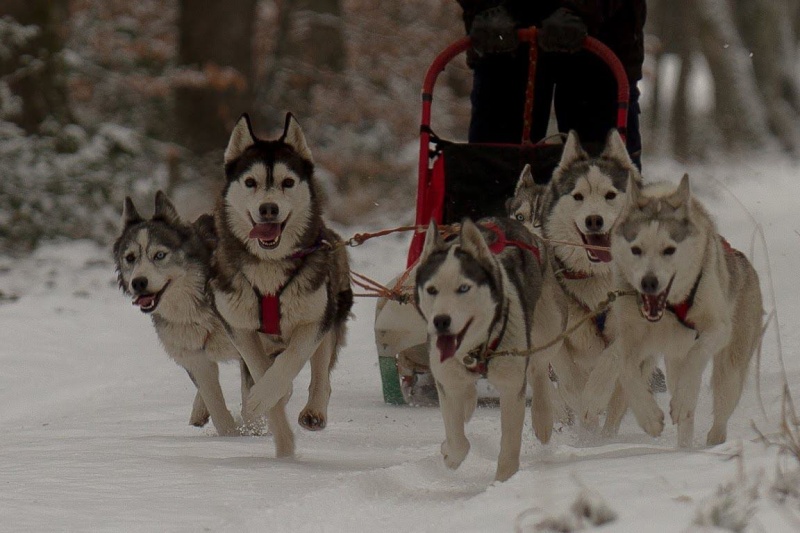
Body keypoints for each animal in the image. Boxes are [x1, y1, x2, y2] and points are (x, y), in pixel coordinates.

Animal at [114, 191, 248, 436]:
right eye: (130, 258)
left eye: (159, 255)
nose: (138, 283)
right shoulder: (196, 359)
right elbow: (218, 410)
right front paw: (233, 437)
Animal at [212, 112, 354, 458]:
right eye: (250, 182)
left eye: (288, 182)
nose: (268, 208)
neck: (269, 268)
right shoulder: (240, 329)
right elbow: (263, 374)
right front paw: (283, 447)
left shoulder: (315, 320)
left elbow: (291, 362)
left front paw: (264, 397)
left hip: (332, 310)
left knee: (320, 371)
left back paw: (314, 411)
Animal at [416, 216, 540, 482]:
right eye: (431, 289)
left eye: (463, 288)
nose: (441, 321)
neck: (476, 350)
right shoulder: (448, 381)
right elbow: (458, 441)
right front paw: (449, 454)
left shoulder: (512, 386)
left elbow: (509, 444)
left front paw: (503, 483)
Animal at [516, 130, 648, 436]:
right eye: (578, 196)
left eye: (610, 194)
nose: (594, 220)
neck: (598, 276)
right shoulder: (556, 334)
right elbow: (566, 376)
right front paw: (578, 403)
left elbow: (611, 360)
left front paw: (592, 401)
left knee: (620, 399)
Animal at [580, 176, 764, 444]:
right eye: (636, 249)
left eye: (669, 250)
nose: (649, 282)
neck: (668, 309)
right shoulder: (632, 336)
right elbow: (623, 366)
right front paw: (647, 416)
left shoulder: (717, 328)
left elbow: (696, 355)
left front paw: (683, 399)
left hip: (730, 370)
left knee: (718, 419)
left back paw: (708, 442)